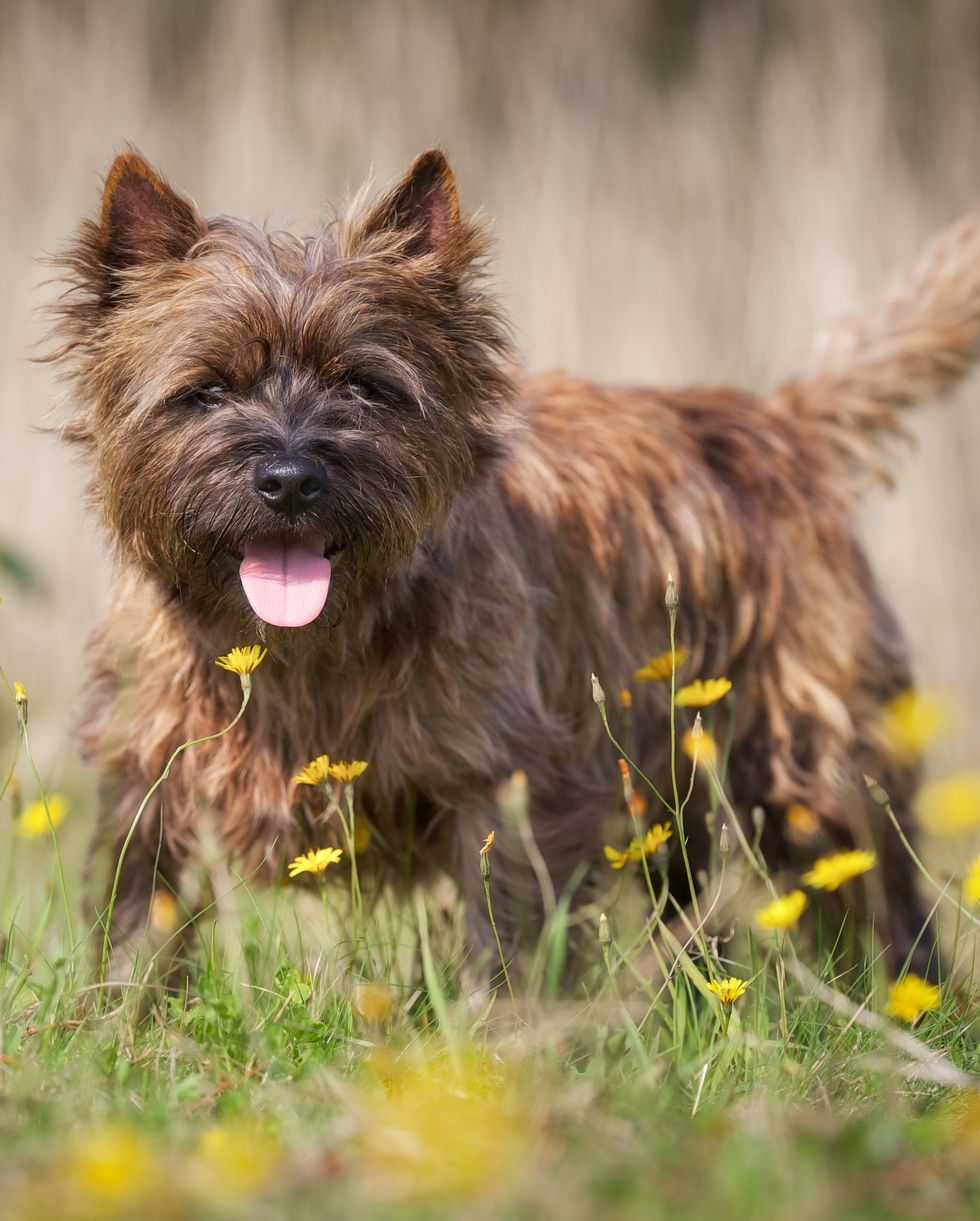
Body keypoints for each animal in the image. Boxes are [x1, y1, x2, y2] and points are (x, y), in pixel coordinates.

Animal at [47, 147, 980, 976]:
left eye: (363, 386)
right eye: (206, 389)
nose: (289, 478)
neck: (306, 650)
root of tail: (783, 420)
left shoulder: (509, 783)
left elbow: (505, 936)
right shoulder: (149, 774)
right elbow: (135, 923)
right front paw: (122, 1026)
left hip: (816, 757)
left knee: (879, 886)